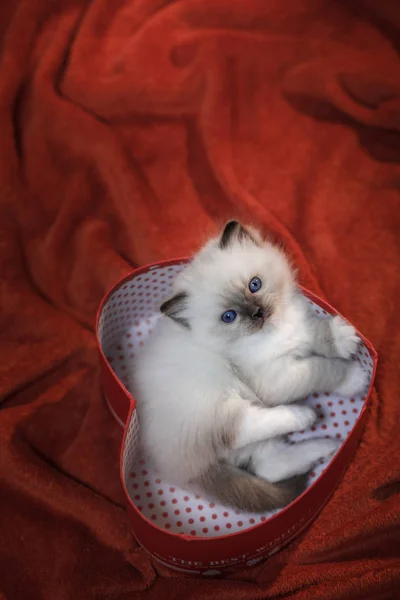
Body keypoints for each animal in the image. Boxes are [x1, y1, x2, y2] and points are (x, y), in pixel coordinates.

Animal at [132, 220, 368, 510]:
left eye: (254, 285)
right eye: (229, 317)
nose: (258, 313)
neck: (277, 330)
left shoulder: (302, 325)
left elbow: (317, 333)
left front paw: (341, 337)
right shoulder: (276, 380)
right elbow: (322, 369)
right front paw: (355, 379)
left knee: (269, 467)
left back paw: (326, 446)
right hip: (222, 400)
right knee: (240, 431)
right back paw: (303, 416)